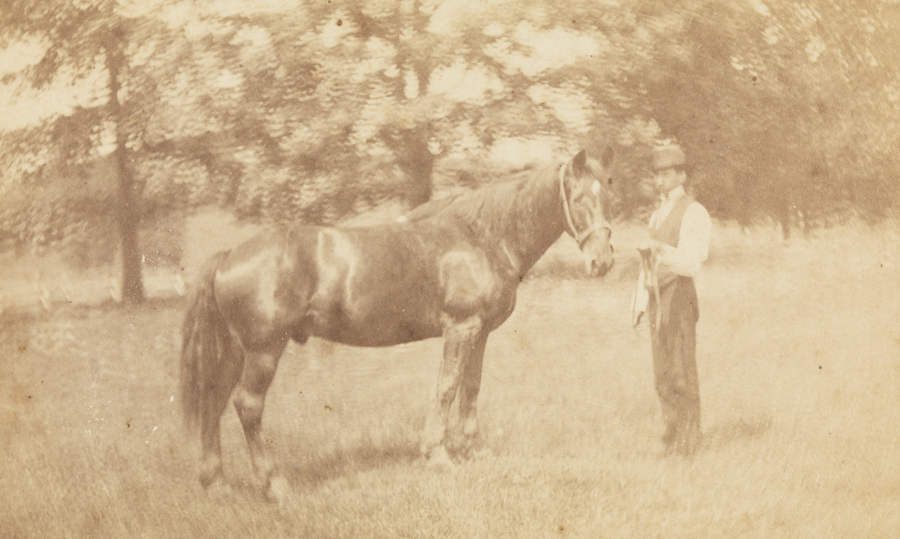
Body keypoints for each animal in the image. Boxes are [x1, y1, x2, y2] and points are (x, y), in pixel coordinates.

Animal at [180, 147, 616, 502]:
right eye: (579, 198)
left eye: (608, 196)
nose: (603, 262)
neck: (481, 236)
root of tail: (228, 255)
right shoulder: (461, 329)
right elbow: (447, 388)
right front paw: (438, 455)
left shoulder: (479, 333)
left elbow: (470, 388)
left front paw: (473, 450)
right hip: (264, 351)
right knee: (247, 406)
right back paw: (274, 485)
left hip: (234, 351)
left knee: (213, 401)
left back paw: (215, 484)